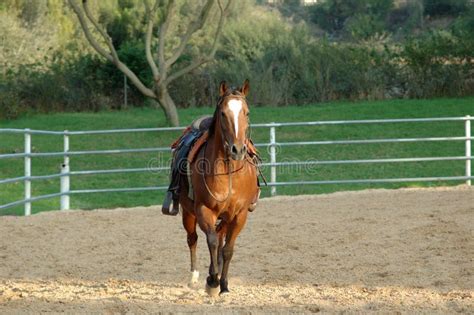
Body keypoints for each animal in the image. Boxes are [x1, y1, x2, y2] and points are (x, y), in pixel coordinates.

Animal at [179, 80, 260, 298]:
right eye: (223, 113)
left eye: (247, 113)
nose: (237, 150)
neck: (228, 173)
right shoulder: (204, 210)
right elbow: (213, 242)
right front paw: (213, 282)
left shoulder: (240, 214)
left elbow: (227, 249)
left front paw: (223, 285)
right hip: (188, 213)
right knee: (193, 239)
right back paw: (194, 277)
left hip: (225, 217)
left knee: (220, 239)